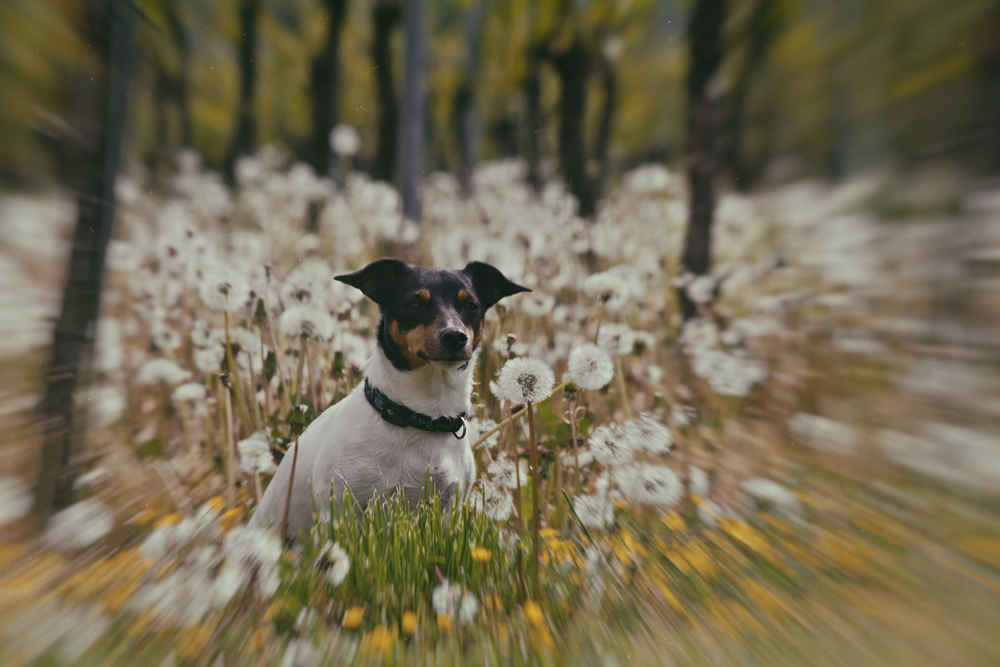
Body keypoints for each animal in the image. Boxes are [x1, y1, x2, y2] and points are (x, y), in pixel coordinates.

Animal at [250, 258, 528, 540]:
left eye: (471, 306)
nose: (455, 336)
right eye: (415, 304)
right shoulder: (339, 508)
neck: (422, 417)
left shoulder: (449, 509)